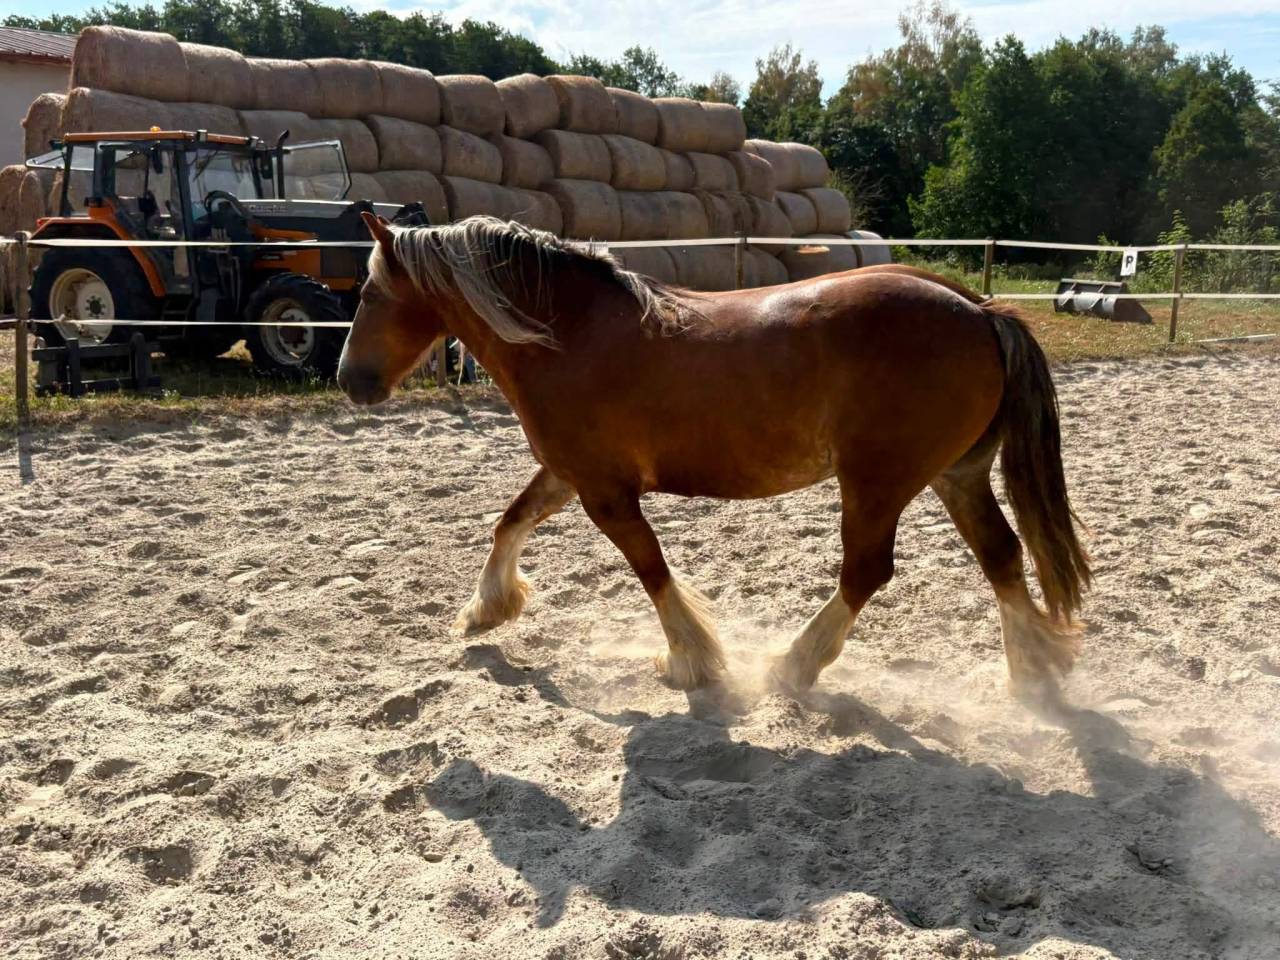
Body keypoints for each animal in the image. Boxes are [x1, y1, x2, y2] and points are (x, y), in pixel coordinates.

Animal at [337, 213, 1090, 698]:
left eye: (369, 292)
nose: (350, 380)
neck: (569, 335)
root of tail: (981, 309)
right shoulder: (570, 473)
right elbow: (510, 521)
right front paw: (485, 611)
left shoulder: (606, 493)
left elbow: (651, 568)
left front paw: (691, 660)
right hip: (955, 476)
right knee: (1001, 555)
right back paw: (1032, 674)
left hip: (877, 483)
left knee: (867, 571)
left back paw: (794, 667)